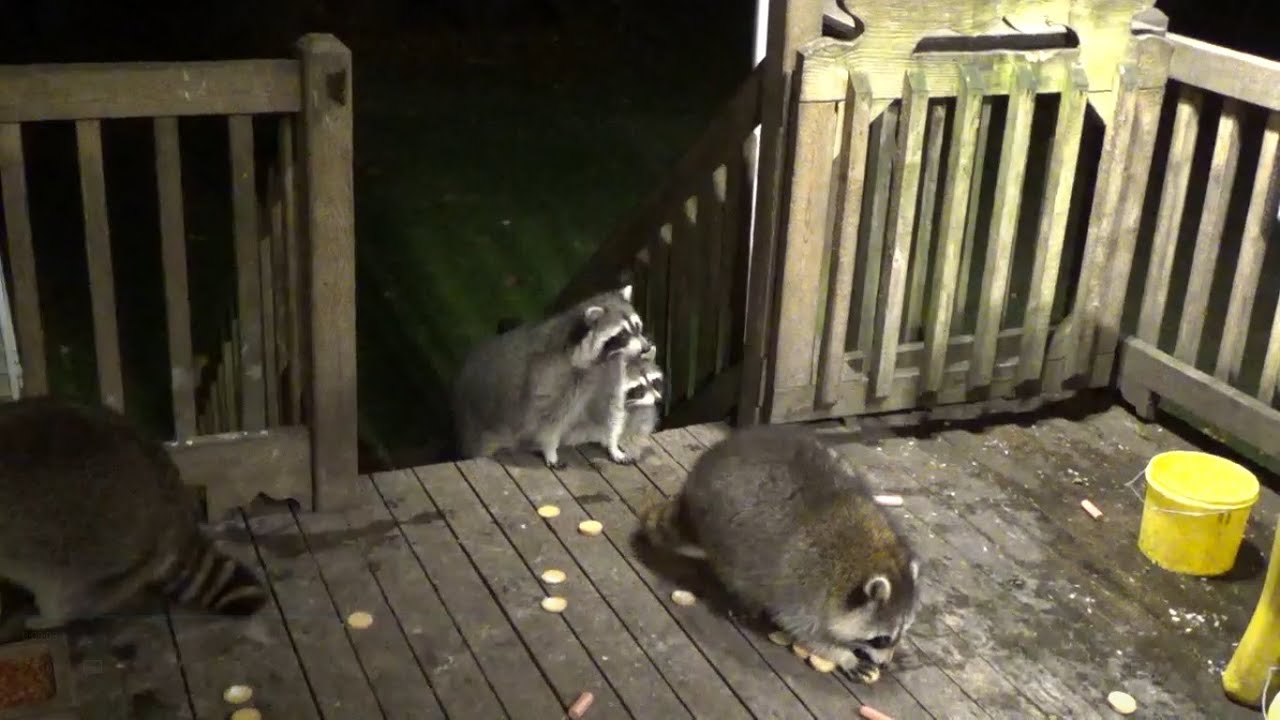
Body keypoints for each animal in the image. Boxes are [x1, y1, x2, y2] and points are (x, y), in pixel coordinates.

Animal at [452, 284, 651, 469]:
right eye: (622, 334)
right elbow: (549, 420)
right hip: (479, 422)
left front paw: (613, 444)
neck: (598, 361)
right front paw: (550, 450)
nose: (646, 348)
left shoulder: (609, 370)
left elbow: (611, 406)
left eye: (637, 327)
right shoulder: (553, 376)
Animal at [639, 424, 920, 683]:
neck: (872, 556)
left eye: (899, 634)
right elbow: (801, 627)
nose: (885, 664)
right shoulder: (804, 583)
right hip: (721, 528)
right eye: (881, 639)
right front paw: (841, 654)